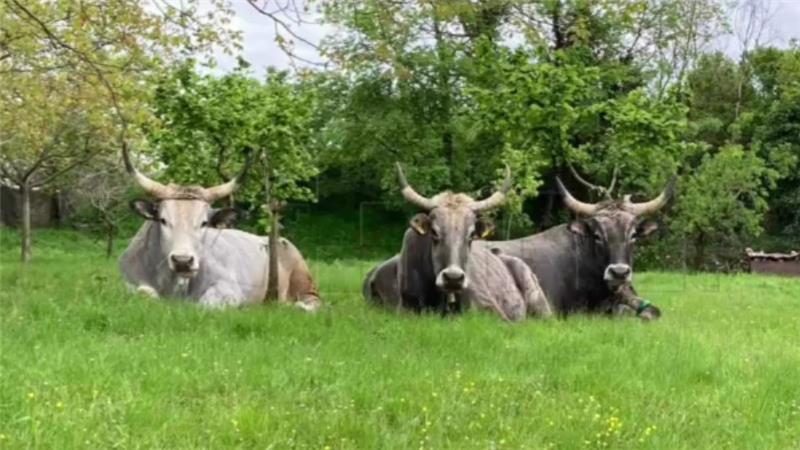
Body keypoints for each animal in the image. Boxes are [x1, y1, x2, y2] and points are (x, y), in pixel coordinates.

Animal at [117, 144, 320, 310]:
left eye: (204, 223)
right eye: (163, 220)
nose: (183, 261)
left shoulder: (228, 289)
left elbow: (205, 304)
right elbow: (145, 292)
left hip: (303, 280)